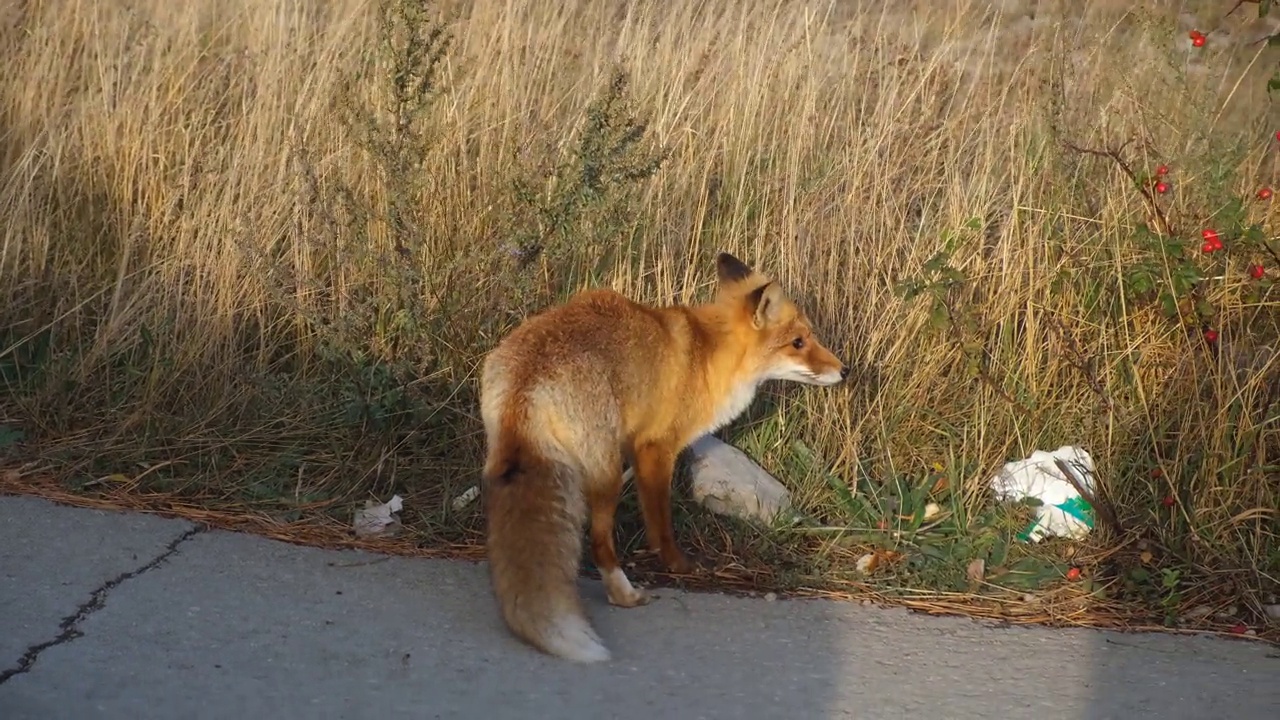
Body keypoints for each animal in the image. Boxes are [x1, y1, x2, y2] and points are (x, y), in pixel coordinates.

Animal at [476, 249, 844, 661]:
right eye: (798, 342)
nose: (844, 371)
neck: (710, 356)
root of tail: (528, 380)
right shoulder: (655, 448)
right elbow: (661, 523)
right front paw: (678, 565)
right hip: (606, 474)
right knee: (599, 543)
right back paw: (624, 594)